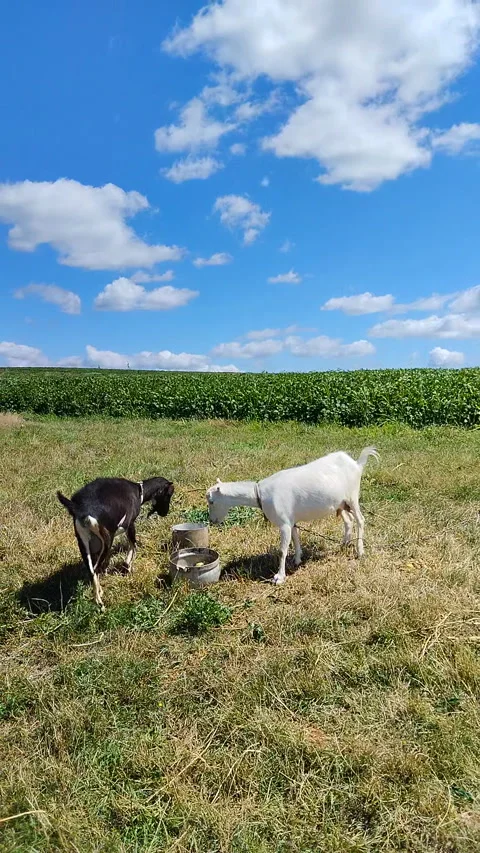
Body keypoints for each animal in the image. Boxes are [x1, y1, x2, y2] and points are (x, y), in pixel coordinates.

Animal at [57, 476, 174, 608]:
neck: (139, 491)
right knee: (95, 569)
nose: (165, 513)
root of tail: (79, 508)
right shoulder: (130, 523)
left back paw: (99, 592)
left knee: (91, 569)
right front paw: (128, 566)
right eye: (169, 493)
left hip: (83, 540)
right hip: (107, 537)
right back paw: (100, 603)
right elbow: (133, 545)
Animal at [206, 447, 378, 585]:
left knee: (360, 520)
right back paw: (344, 544)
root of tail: (357, 464)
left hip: (352, 496)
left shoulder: (284, 523)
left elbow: (282, 550)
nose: (212, 520)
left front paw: (279, 577)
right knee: (349, 521)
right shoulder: (291, 520)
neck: (259, 494)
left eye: (211, 501)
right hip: (341, 503)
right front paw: (297, 559)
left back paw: (360, 551)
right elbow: (295, 538)